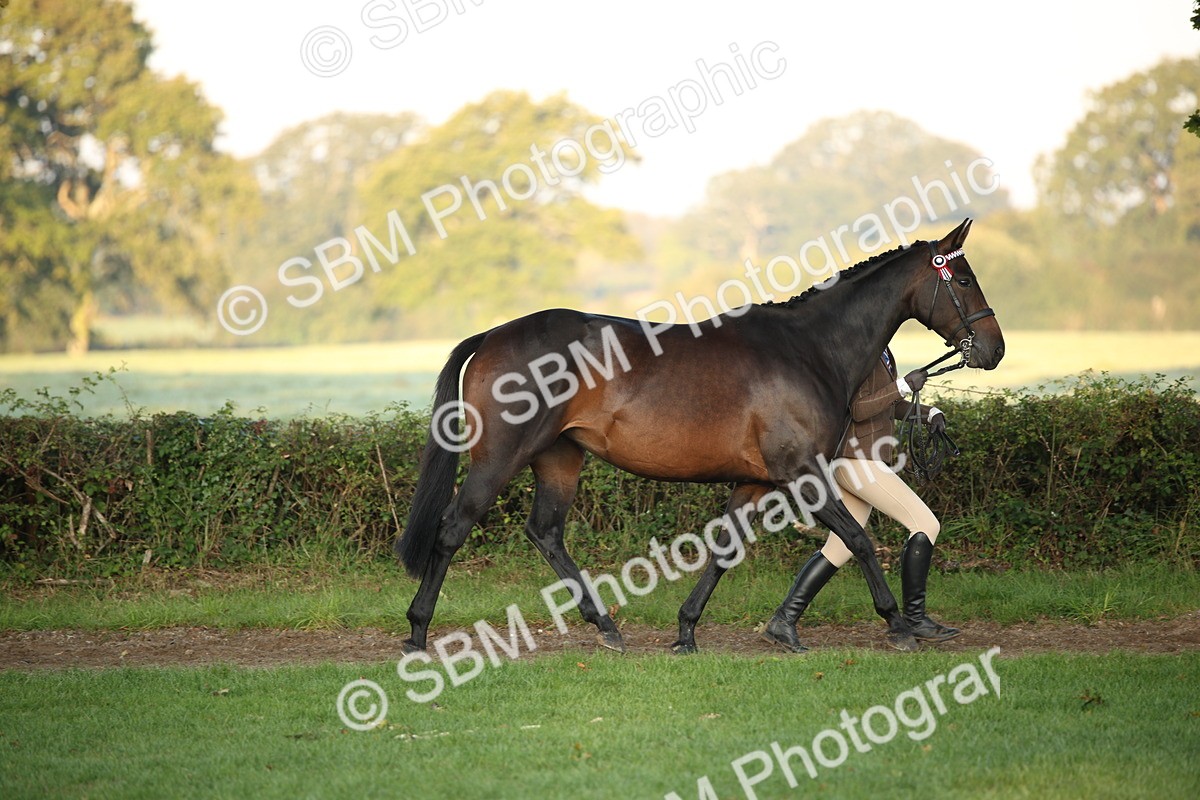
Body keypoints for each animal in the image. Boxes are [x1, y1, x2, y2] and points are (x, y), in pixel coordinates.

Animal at [396, 218, 1003, 655]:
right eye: (964, 278)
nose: (993, 348)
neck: (809, 348)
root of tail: (493, 334)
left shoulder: (756, 482)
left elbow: (724, 549)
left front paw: (687, 631)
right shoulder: (802, 473)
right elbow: (857, 540)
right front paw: (898, 623)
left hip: (559, 458)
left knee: (545, 533)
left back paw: (605, 627)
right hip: (501, 454)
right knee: (453, 528)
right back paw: (418, 631)